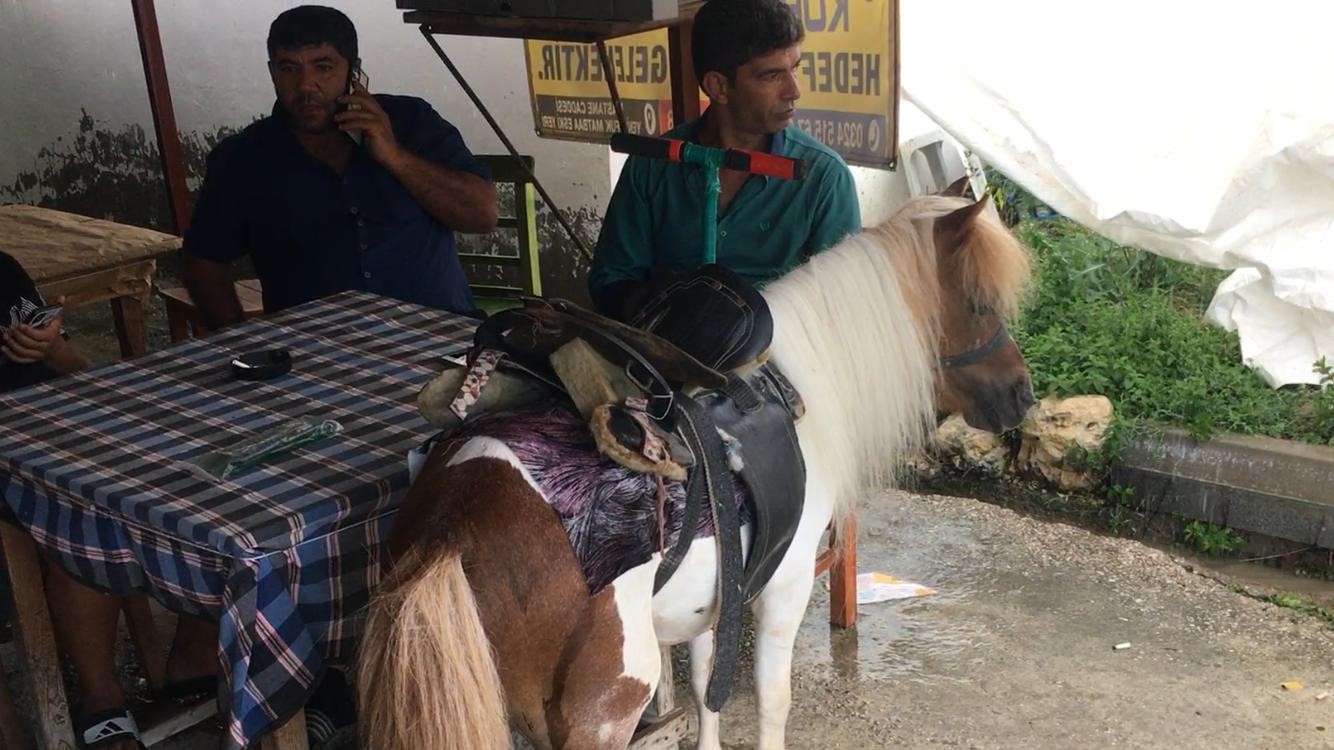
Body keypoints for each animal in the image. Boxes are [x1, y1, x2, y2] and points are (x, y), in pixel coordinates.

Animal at [352, 192, 1029, 747]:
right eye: (978, 303)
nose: (1021, 397)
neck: (799, 388)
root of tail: (449, 534)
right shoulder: (783, 591)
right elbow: (772, 703)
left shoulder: (718, 596)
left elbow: (707, 692)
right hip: (603, 713)